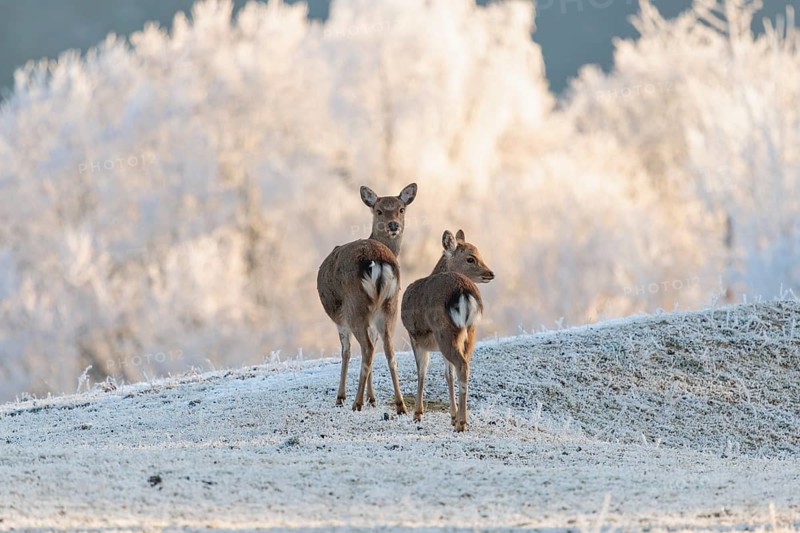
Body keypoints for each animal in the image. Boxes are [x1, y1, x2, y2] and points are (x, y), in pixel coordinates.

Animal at [317, 183, 417, 414]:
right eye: (379, 210)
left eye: (401, 209)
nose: (393, 224)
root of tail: (377, 261)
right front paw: (373, 398)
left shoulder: (340, 319)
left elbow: (346, 352)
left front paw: (342, 397)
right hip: (390, 306)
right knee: (388, 350)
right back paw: (400, 405)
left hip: (356, 306)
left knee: (367, 348)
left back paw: (356, 402)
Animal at [401, 229, 494, 431]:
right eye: (471, 258)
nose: (490, 273)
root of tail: (464, 291)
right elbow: (447, 375)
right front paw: (452, 415)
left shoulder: (414, 336)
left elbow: (422, 371)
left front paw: (417, 414)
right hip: (469, 331)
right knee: (464, 366)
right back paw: (460, 420)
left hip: (444, 330)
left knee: (462, 365)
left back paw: (462, 423)